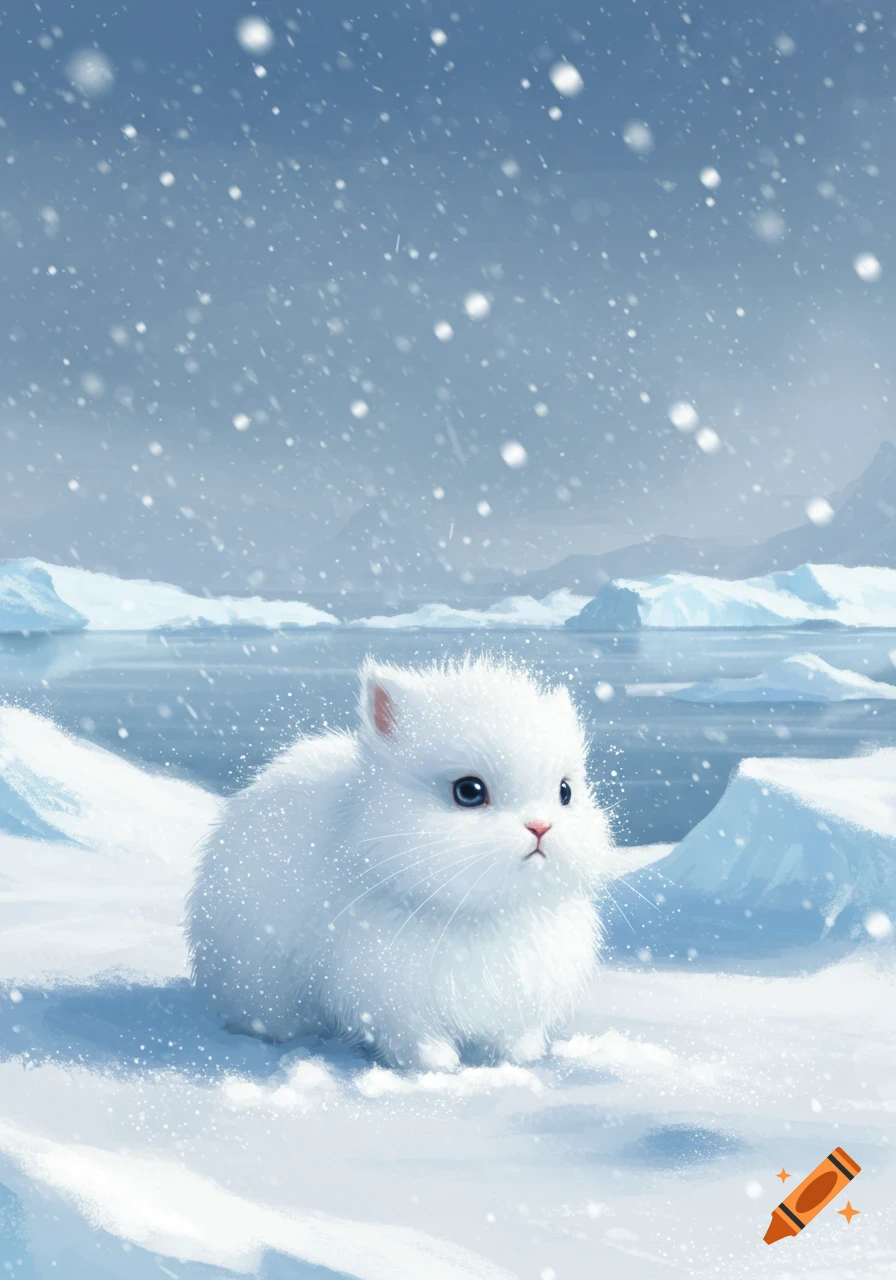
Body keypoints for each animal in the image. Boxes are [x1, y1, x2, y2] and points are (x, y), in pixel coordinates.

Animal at [187, 656, 613, 1071]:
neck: (479, 912)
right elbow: (417, 1039)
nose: (540, 827)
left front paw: (519, 1058)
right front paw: (438, 1067)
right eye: (469, 791)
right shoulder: (392, 999)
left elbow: (516, 1035)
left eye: (565, 791)